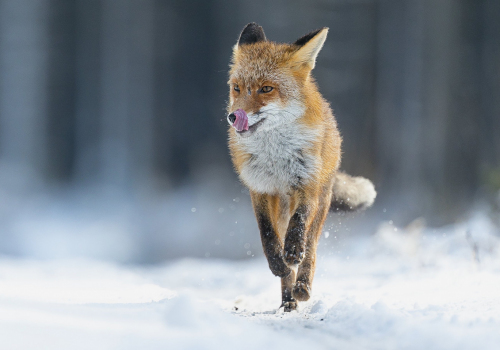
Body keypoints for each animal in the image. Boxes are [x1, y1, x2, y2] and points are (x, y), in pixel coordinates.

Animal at [227, 22, 376, 312]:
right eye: (237, 88)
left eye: (266, 89)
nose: (233, 116)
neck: (276, 156)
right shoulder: (260, 189)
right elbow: (267, 234)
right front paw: (278, 264)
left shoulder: (306, 184)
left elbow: (299, 225)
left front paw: (293, 251)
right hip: (283, 206)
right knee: (286, 258)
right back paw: (288, 299)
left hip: (322, 200)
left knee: (312, 249)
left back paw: (302, 287)